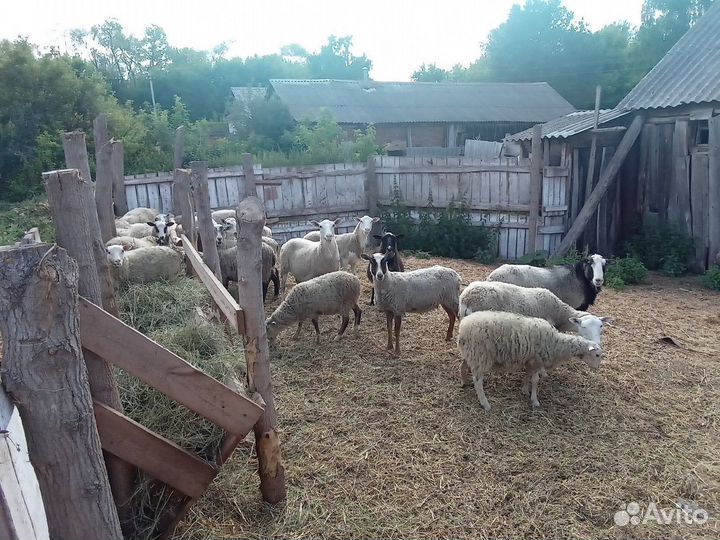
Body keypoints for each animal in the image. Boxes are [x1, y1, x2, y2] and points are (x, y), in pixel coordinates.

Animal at [457, 311, 601, 411]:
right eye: (597, 355)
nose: (597, 368)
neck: (556, 343)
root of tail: (463, 326)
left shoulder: (530, 360)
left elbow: (527, 375)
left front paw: (525, 390)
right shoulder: (537, 360)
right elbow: (535, 380)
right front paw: (534, 400)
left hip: (470, 353)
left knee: (463, 366)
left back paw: (464, 382)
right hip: (480, 355)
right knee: (478, 381)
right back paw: (485, 403)